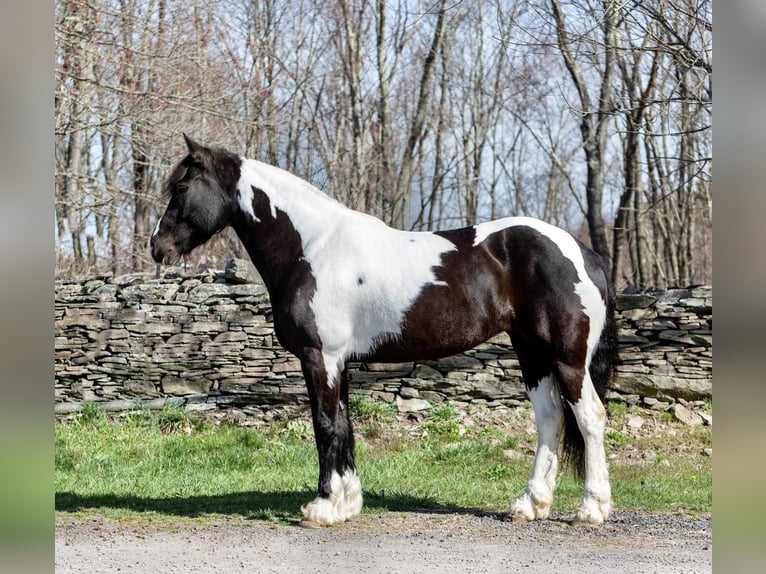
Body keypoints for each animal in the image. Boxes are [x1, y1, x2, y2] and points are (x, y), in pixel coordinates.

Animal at [153, 136, 620, 532]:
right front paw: (346, 503)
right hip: (532, 353)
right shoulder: (337, 362)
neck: (313, 248)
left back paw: (591, 510)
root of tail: (584, 253)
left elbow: (325, 424)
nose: (158, 247)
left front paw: (322, 508)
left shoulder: (319, 357)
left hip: (566, 358)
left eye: (182, 187)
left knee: (589, 417)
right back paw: (529, 505)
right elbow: (343, 425)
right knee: (550, 419)